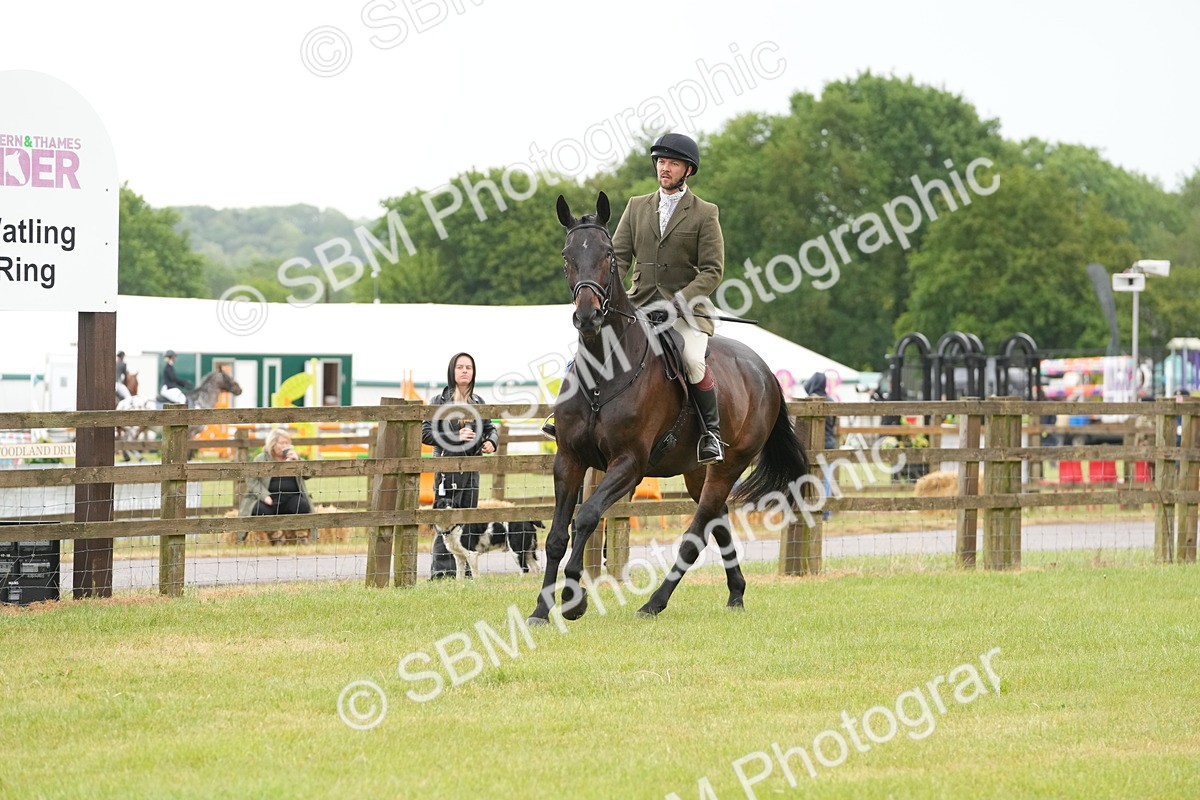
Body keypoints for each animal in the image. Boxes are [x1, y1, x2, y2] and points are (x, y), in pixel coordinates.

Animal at [527, 192, 811, 625]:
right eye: (566, 255)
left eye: (608, 255)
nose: (587, 317)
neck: (604, 371)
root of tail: (763, 369)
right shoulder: (569, 458)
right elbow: (558, 535)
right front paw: (542, 610)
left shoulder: (629, 463)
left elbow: (587, 516)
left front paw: (574, 600)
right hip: (697, 473)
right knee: (717, 522)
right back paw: (736, 593)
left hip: (728, 465)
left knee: (696, 534)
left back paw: (654, 603)